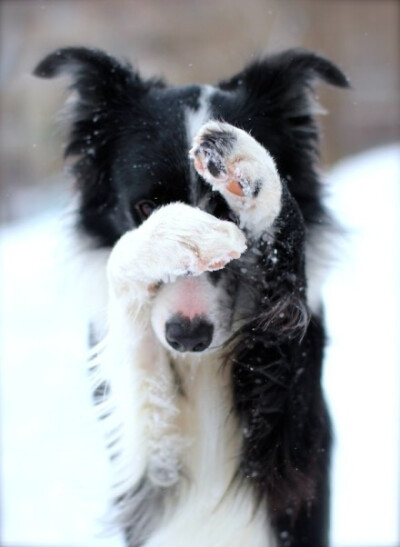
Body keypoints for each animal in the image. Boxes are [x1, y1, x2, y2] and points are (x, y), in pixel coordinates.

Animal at [33, 48, 346, 547]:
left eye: (228, 214)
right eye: (144, 207)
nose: (187, 337)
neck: (200, 366)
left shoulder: (290, 435)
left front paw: (249, 169)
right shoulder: (152, 465)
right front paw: (172, 234)